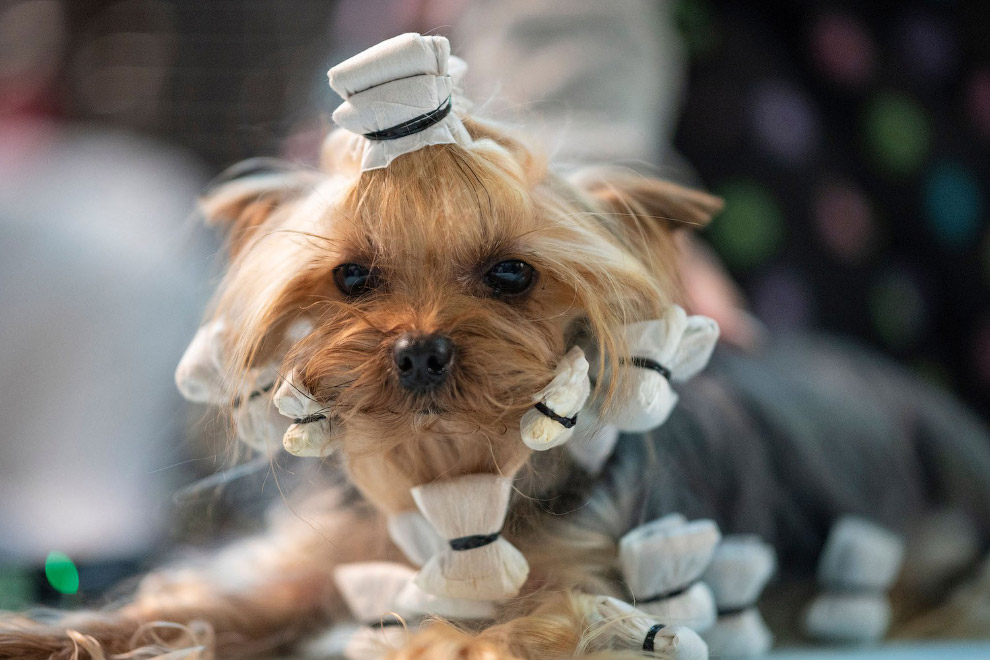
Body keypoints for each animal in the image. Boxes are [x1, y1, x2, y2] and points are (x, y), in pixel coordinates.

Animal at [5, 33, 990, 660]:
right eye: (352, 278)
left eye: (512, 274)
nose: (419, 352)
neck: (449, 471)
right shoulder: (329, 558)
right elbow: (206, 605)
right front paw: (45, 637)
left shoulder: (614, 579)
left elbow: (527, 624)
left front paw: (438, 638)